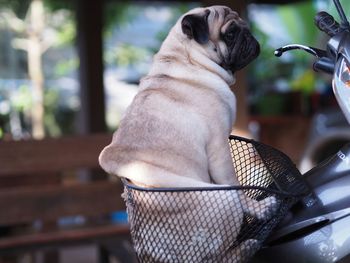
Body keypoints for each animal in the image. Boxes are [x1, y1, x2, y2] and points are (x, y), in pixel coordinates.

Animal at [100, 5, 278, 262]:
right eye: (231, 33)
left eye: (244, 26)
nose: (250, 36)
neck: (187, 59)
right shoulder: (218, 147)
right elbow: (236, 185)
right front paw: (258, 208)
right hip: (222, 199)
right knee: (219, 256)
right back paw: (248, 244)